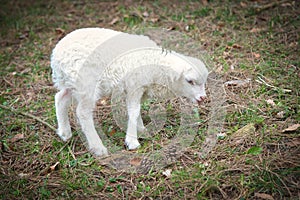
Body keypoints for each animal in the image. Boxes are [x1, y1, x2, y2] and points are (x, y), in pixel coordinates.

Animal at [50, 27, 207, 156]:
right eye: (189, 81)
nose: (202, 98)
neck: (155, 65)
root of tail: (57, 55)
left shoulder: (138, 89)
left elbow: (135, 110)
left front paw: (142, 129)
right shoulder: (134, 86)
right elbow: (134, 111)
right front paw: (132, 141)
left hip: (72, 82)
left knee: (60, 98)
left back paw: (64, 133)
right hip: (86, 83)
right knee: (82, 113)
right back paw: (98, 147)